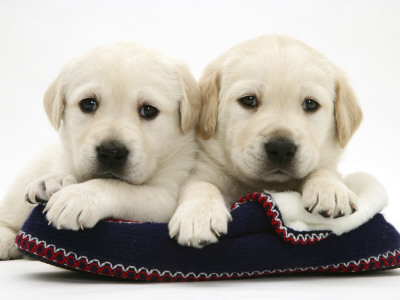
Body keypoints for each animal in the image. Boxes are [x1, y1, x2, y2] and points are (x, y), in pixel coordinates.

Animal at [0, 41, 200, 258]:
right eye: (88, 104)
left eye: (149, 110)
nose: (111, 153)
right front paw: (54, 180)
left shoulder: (167, 197)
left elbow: (120, 187)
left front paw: (78, 197)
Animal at [170, 34, 364, 248]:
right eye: (248, 100)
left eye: (310, 104)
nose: (281, 149)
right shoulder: (203, 169)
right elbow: (201, 185)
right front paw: (198, 216)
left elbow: (324, 170)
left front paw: (330, 189)